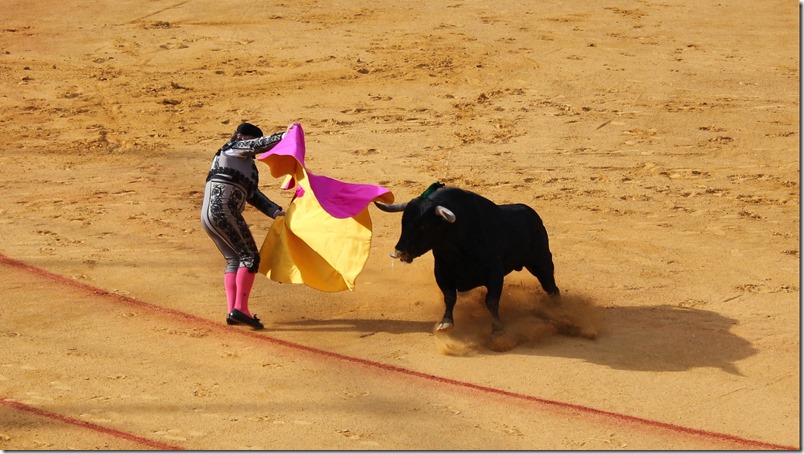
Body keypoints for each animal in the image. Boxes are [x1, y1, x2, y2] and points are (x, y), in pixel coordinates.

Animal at [372, 185, 556, 334]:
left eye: (424, 226)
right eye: (403, 223)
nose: (400, 251)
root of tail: (533, 215)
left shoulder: (494, 273)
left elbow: (491, 301)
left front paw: (497, 328)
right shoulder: (442, 272)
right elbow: (449, 297)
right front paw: (445, 323)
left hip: (541, 261)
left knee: (551, 287)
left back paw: (558, 310)